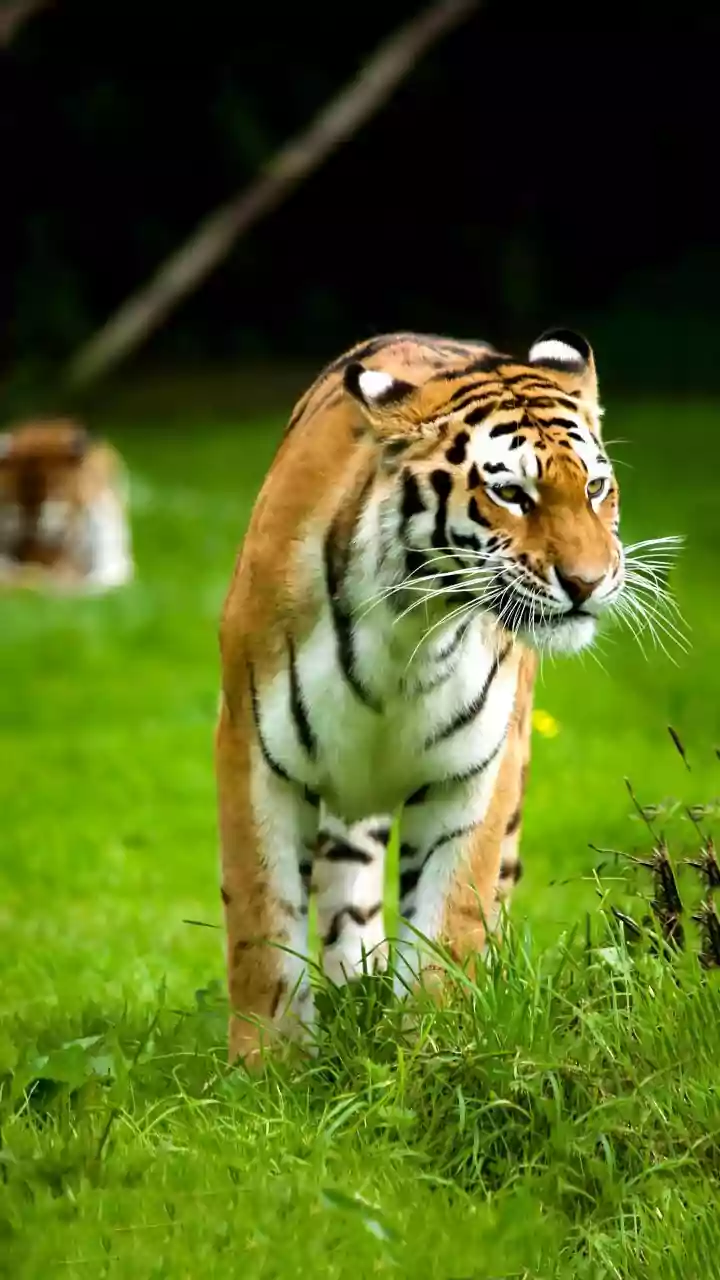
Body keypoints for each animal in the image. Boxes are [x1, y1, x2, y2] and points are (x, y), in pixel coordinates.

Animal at [217, 328, 624, 1065]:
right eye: (512, 493)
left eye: (596, 487)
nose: (589, 581)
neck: (412, 627)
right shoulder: (253, 755)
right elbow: (262, 929)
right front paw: (268, 1068)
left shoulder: (477, 772)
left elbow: (448, 928)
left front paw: (434, 1052)